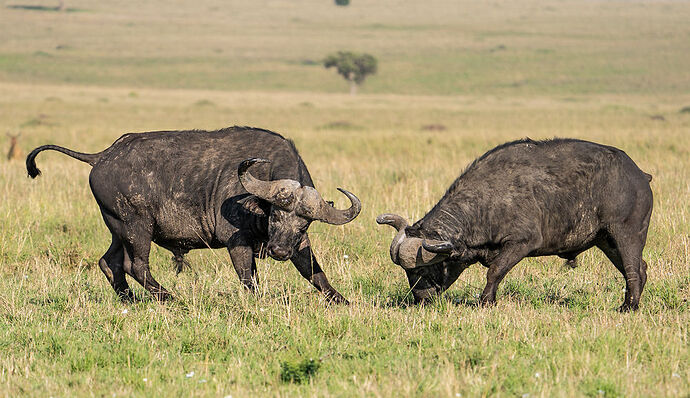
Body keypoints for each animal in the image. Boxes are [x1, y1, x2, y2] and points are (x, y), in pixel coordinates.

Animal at [25, 126, 360, 304]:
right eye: (275, 216)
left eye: (303, 226)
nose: (278, 251)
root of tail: (103, 155)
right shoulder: (236, 242)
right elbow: (248, 277)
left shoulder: (298, 246)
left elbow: (315, 272)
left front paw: (341, 301)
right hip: (137, 226)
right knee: (136, 265)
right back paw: (170, 298)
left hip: (117, 228)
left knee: (110, 262)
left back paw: (129, 300)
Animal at [376, 138, 652, 312]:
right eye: (408, 273)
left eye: (424, 270)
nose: (420, 299)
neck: (487, 200)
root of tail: (639, 174)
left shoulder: (522, 242)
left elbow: (495, 271)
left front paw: (486, 302)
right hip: (606, 241)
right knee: (640, 268)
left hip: (626, 234)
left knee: (633, 269)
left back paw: (628, 307)